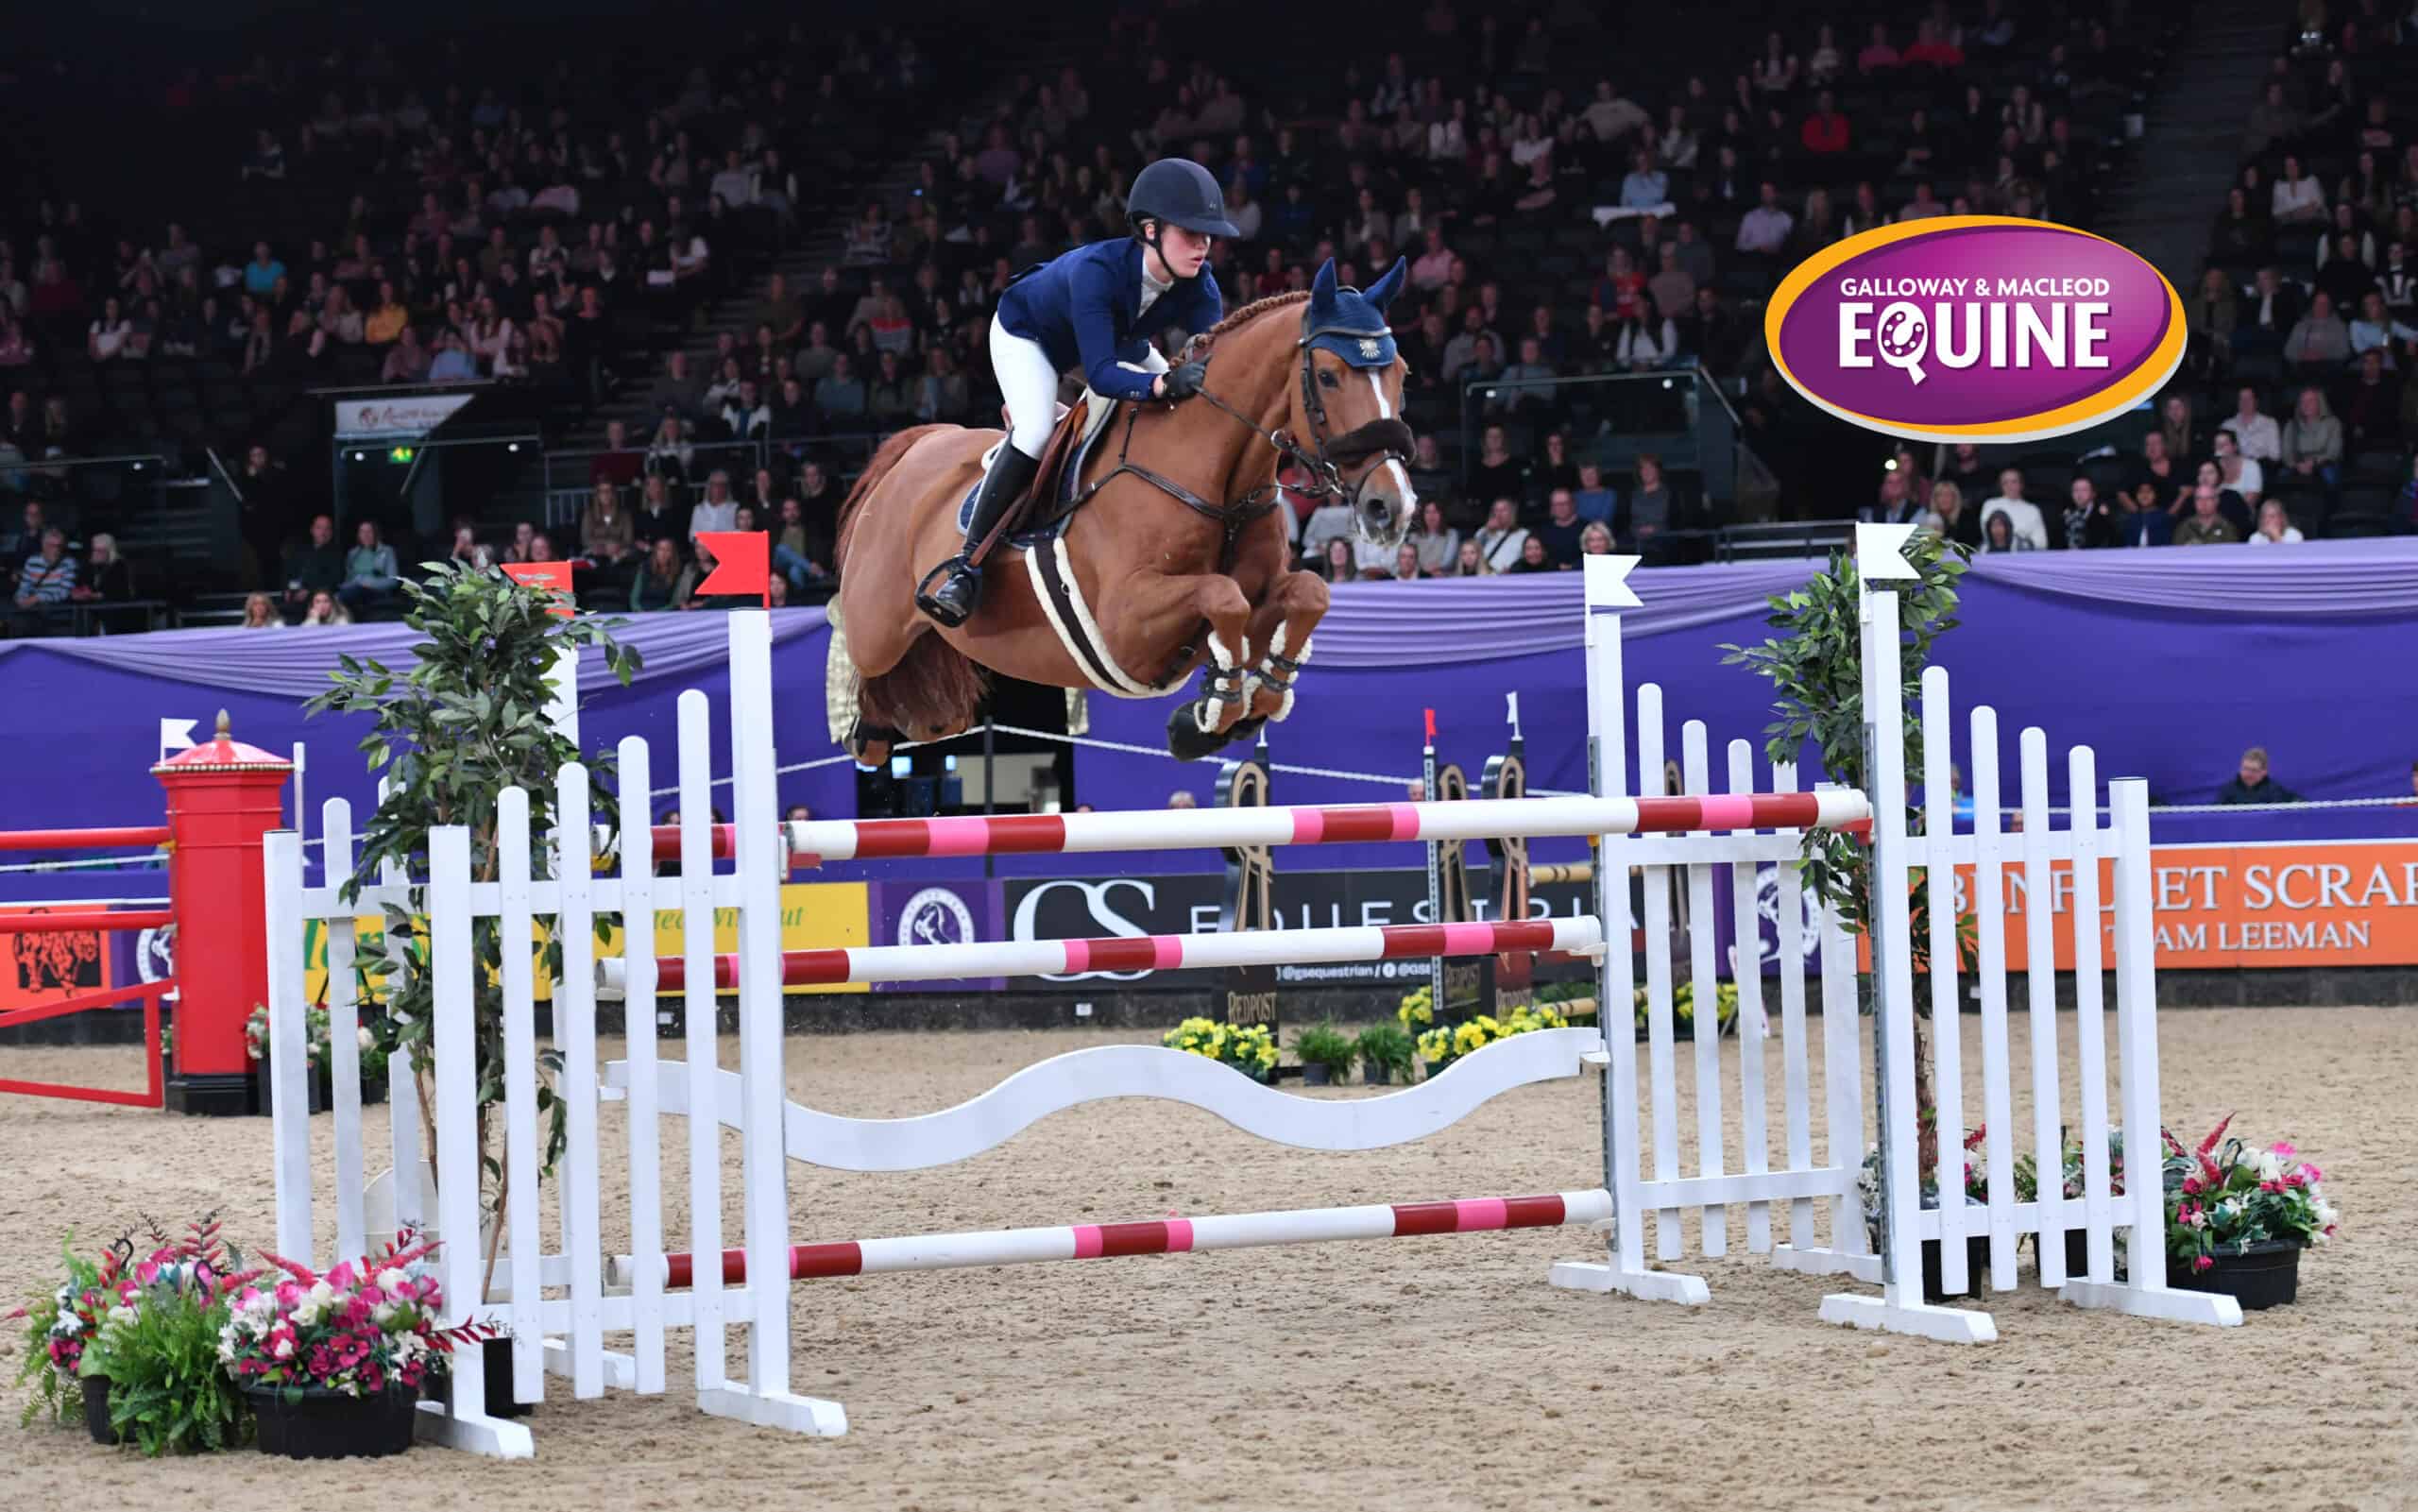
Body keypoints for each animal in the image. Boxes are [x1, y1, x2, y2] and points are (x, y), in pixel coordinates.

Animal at [831, 257, 1417, 764]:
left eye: (1402, 374)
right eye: (1329, 376)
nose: (1391, 506)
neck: (1216, 481)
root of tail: (919, 444)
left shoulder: (1264, 590)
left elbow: (1308, 593)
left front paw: (1248, 700)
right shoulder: (1125, 625)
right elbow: (1222, 596)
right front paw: (1220, 704)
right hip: (877, 626)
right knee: (859, 648)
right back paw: (871, 719)